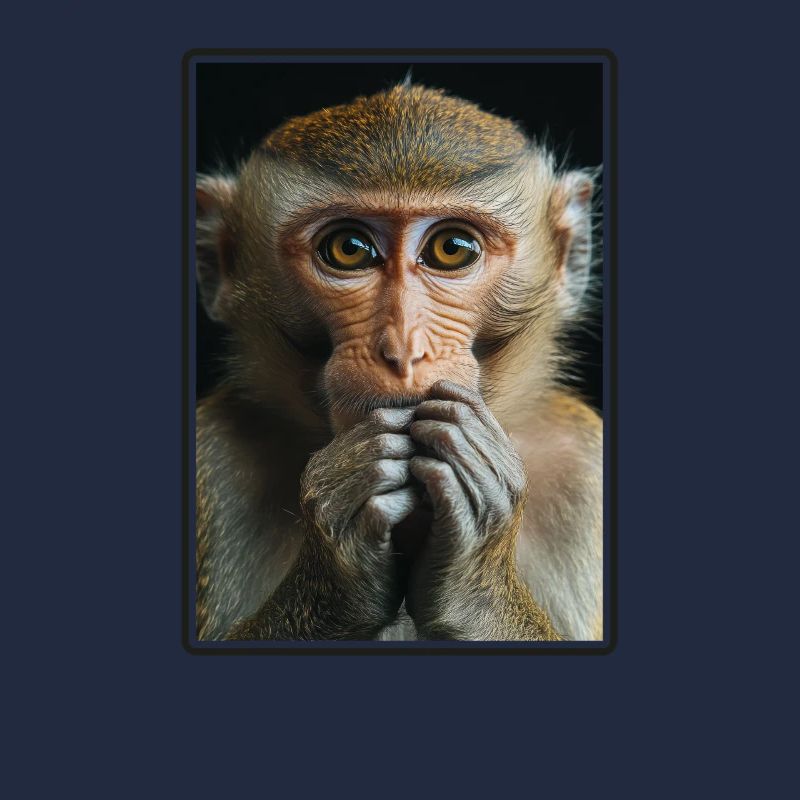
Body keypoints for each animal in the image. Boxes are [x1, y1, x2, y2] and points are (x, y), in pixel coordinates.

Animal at [194, 82, 602, 642]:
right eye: (349, 248)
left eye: (452, 248)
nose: (403, 349)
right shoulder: (213, 453)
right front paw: (340, 559)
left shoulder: (586, 466)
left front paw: (474, 580)